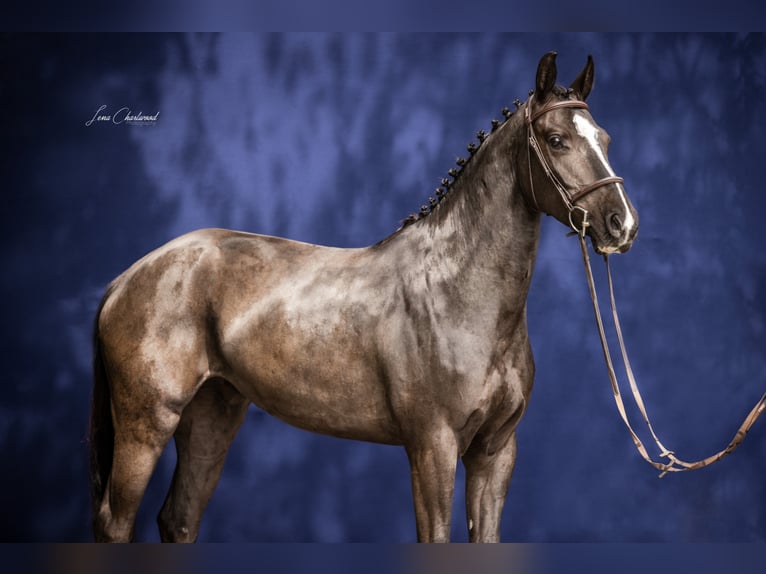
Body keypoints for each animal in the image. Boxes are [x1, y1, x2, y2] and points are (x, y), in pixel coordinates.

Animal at [89, 51, 639, 543]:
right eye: (557, 140)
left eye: (606, 139)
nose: (622, 224)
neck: (460, 293)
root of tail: (128, 277)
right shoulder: (432, 448)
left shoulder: (495, 453)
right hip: (147, 423)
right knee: (115, 523)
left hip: (212, 416)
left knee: (178, 520)